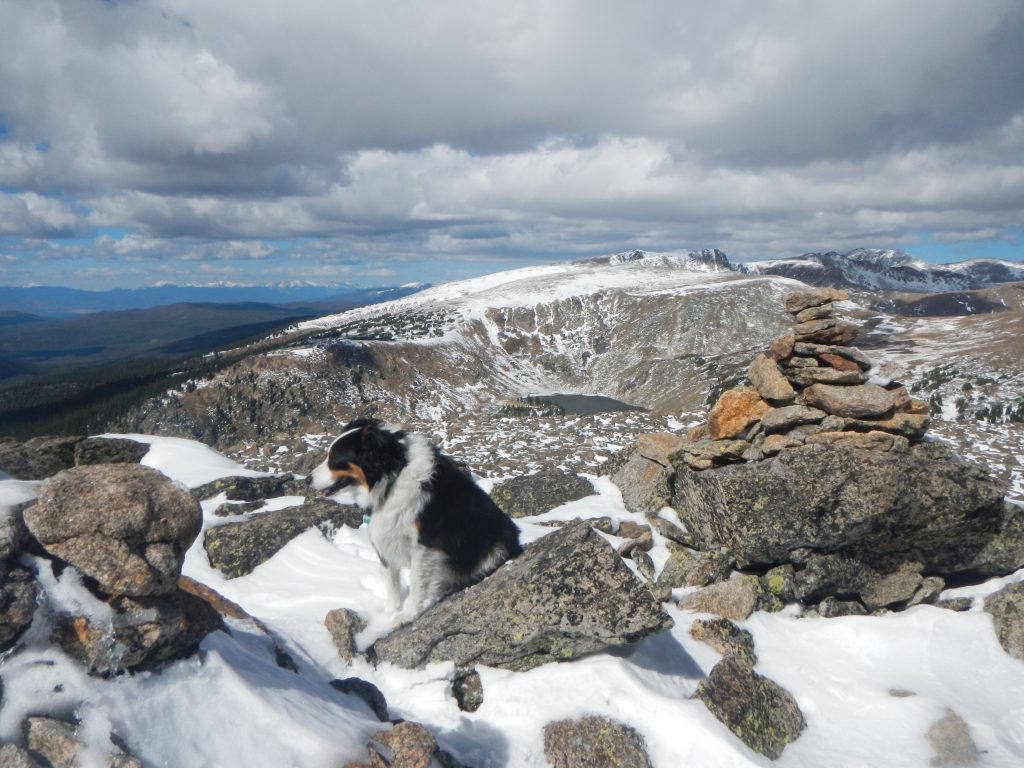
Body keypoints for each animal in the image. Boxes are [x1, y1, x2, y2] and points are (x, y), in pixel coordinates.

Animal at [305, 417, 520, 622]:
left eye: (335, 459)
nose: (307, 480)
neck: (391, 480)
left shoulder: (424, 544)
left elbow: (417, 582)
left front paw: (407, 615)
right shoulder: (386, 537)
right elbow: (392, 582)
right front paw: (386, 615)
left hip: (495, 548)